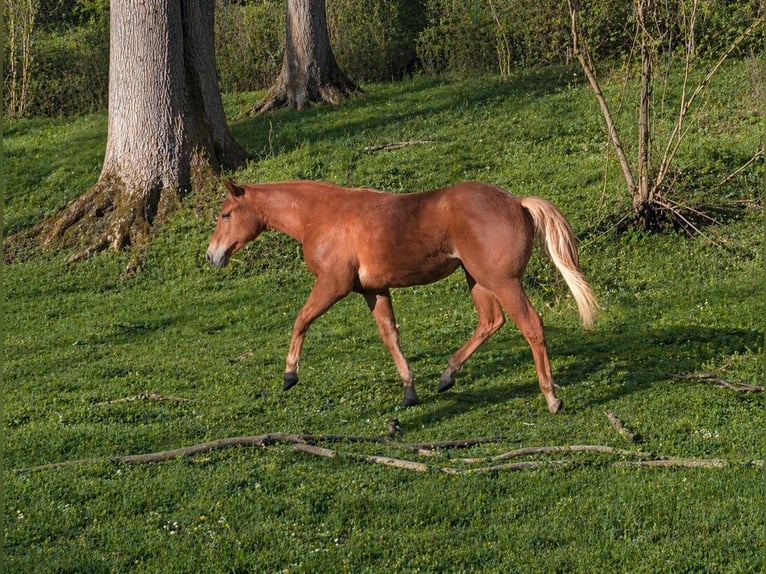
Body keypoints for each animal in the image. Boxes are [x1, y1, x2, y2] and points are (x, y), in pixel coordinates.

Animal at [206, 180, 598, 413]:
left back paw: (551, 396)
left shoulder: (333, 284)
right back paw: (447, 376)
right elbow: (390, 335)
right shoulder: (374, 290)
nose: (212, 255)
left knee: (531, 326)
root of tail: (516, 202)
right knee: (491, 321)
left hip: (503, 282)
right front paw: (410, 390)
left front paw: (290, 374)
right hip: (478, 279)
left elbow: (302, 319)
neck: (319, 215)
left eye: (225, 214)